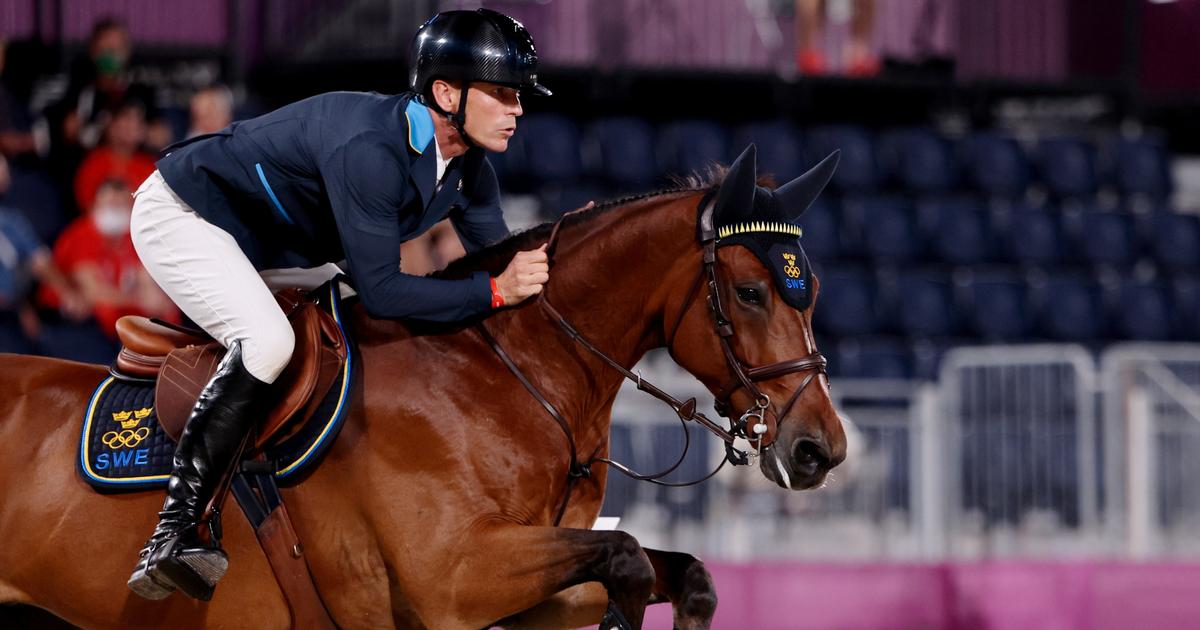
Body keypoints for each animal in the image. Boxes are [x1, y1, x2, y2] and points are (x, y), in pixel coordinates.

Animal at [0, 145, 846, 629]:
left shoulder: (517, 592)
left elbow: (678, 573)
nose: (822, 452)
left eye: (811, 292)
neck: (513, 374)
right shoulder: (456, 577)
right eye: (751, 294)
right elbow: (630, 559)